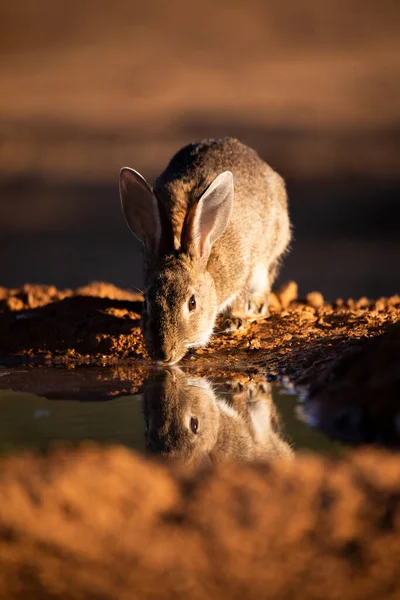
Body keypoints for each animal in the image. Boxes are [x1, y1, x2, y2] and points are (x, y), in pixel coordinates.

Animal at [119, 137, 290, 360]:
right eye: (146, 302)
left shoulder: (244, 269)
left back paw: (256, 306)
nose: (163, 354)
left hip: (272, 247)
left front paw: (234, 322)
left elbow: (240, 296)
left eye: (192, 303)